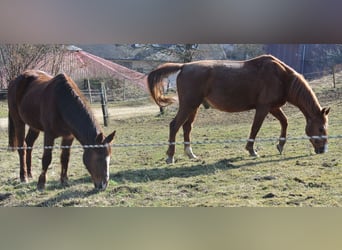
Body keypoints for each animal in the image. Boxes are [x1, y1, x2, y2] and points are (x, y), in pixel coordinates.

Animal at [148, 55, 330, 164]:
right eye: (321, 128)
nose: (323, 150)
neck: (282, 77)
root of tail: (184, 66)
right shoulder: (263, 108)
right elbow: (255, 128)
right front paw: (252, 150)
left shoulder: (273, 107)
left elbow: (285, 122)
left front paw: (280, 145)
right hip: (188, 105)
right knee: (174, 126)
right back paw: (170, 156)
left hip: (194, 107)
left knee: (187, 127)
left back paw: (190, 154)